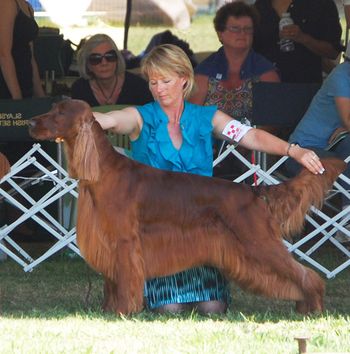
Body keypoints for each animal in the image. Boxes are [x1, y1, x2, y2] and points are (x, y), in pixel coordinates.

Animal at [28, 99, 344, 316]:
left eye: (59, 112)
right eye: (52, 108)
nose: (31, 122)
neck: (103, 171)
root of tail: (252, 190)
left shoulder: (125, 242)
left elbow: (126, 278)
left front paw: (124, 311)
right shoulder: (108, 241)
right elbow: (111, 280)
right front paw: (109, 310)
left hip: (259, 243)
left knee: (305, 274)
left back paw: (313, 306)